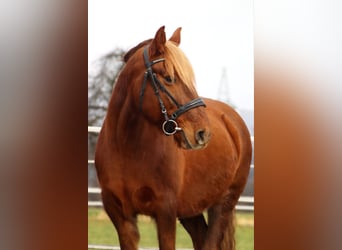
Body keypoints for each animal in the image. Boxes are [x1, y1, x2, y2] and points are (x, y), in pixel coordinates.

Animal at [95, 26, 252, 250]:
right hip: (191, 210)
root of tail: (231, 119)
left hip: (223, 204)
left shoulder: (166, 213)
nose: (202, 133)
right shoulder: (122, 218)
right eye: (168, 78)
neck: (127, 149)